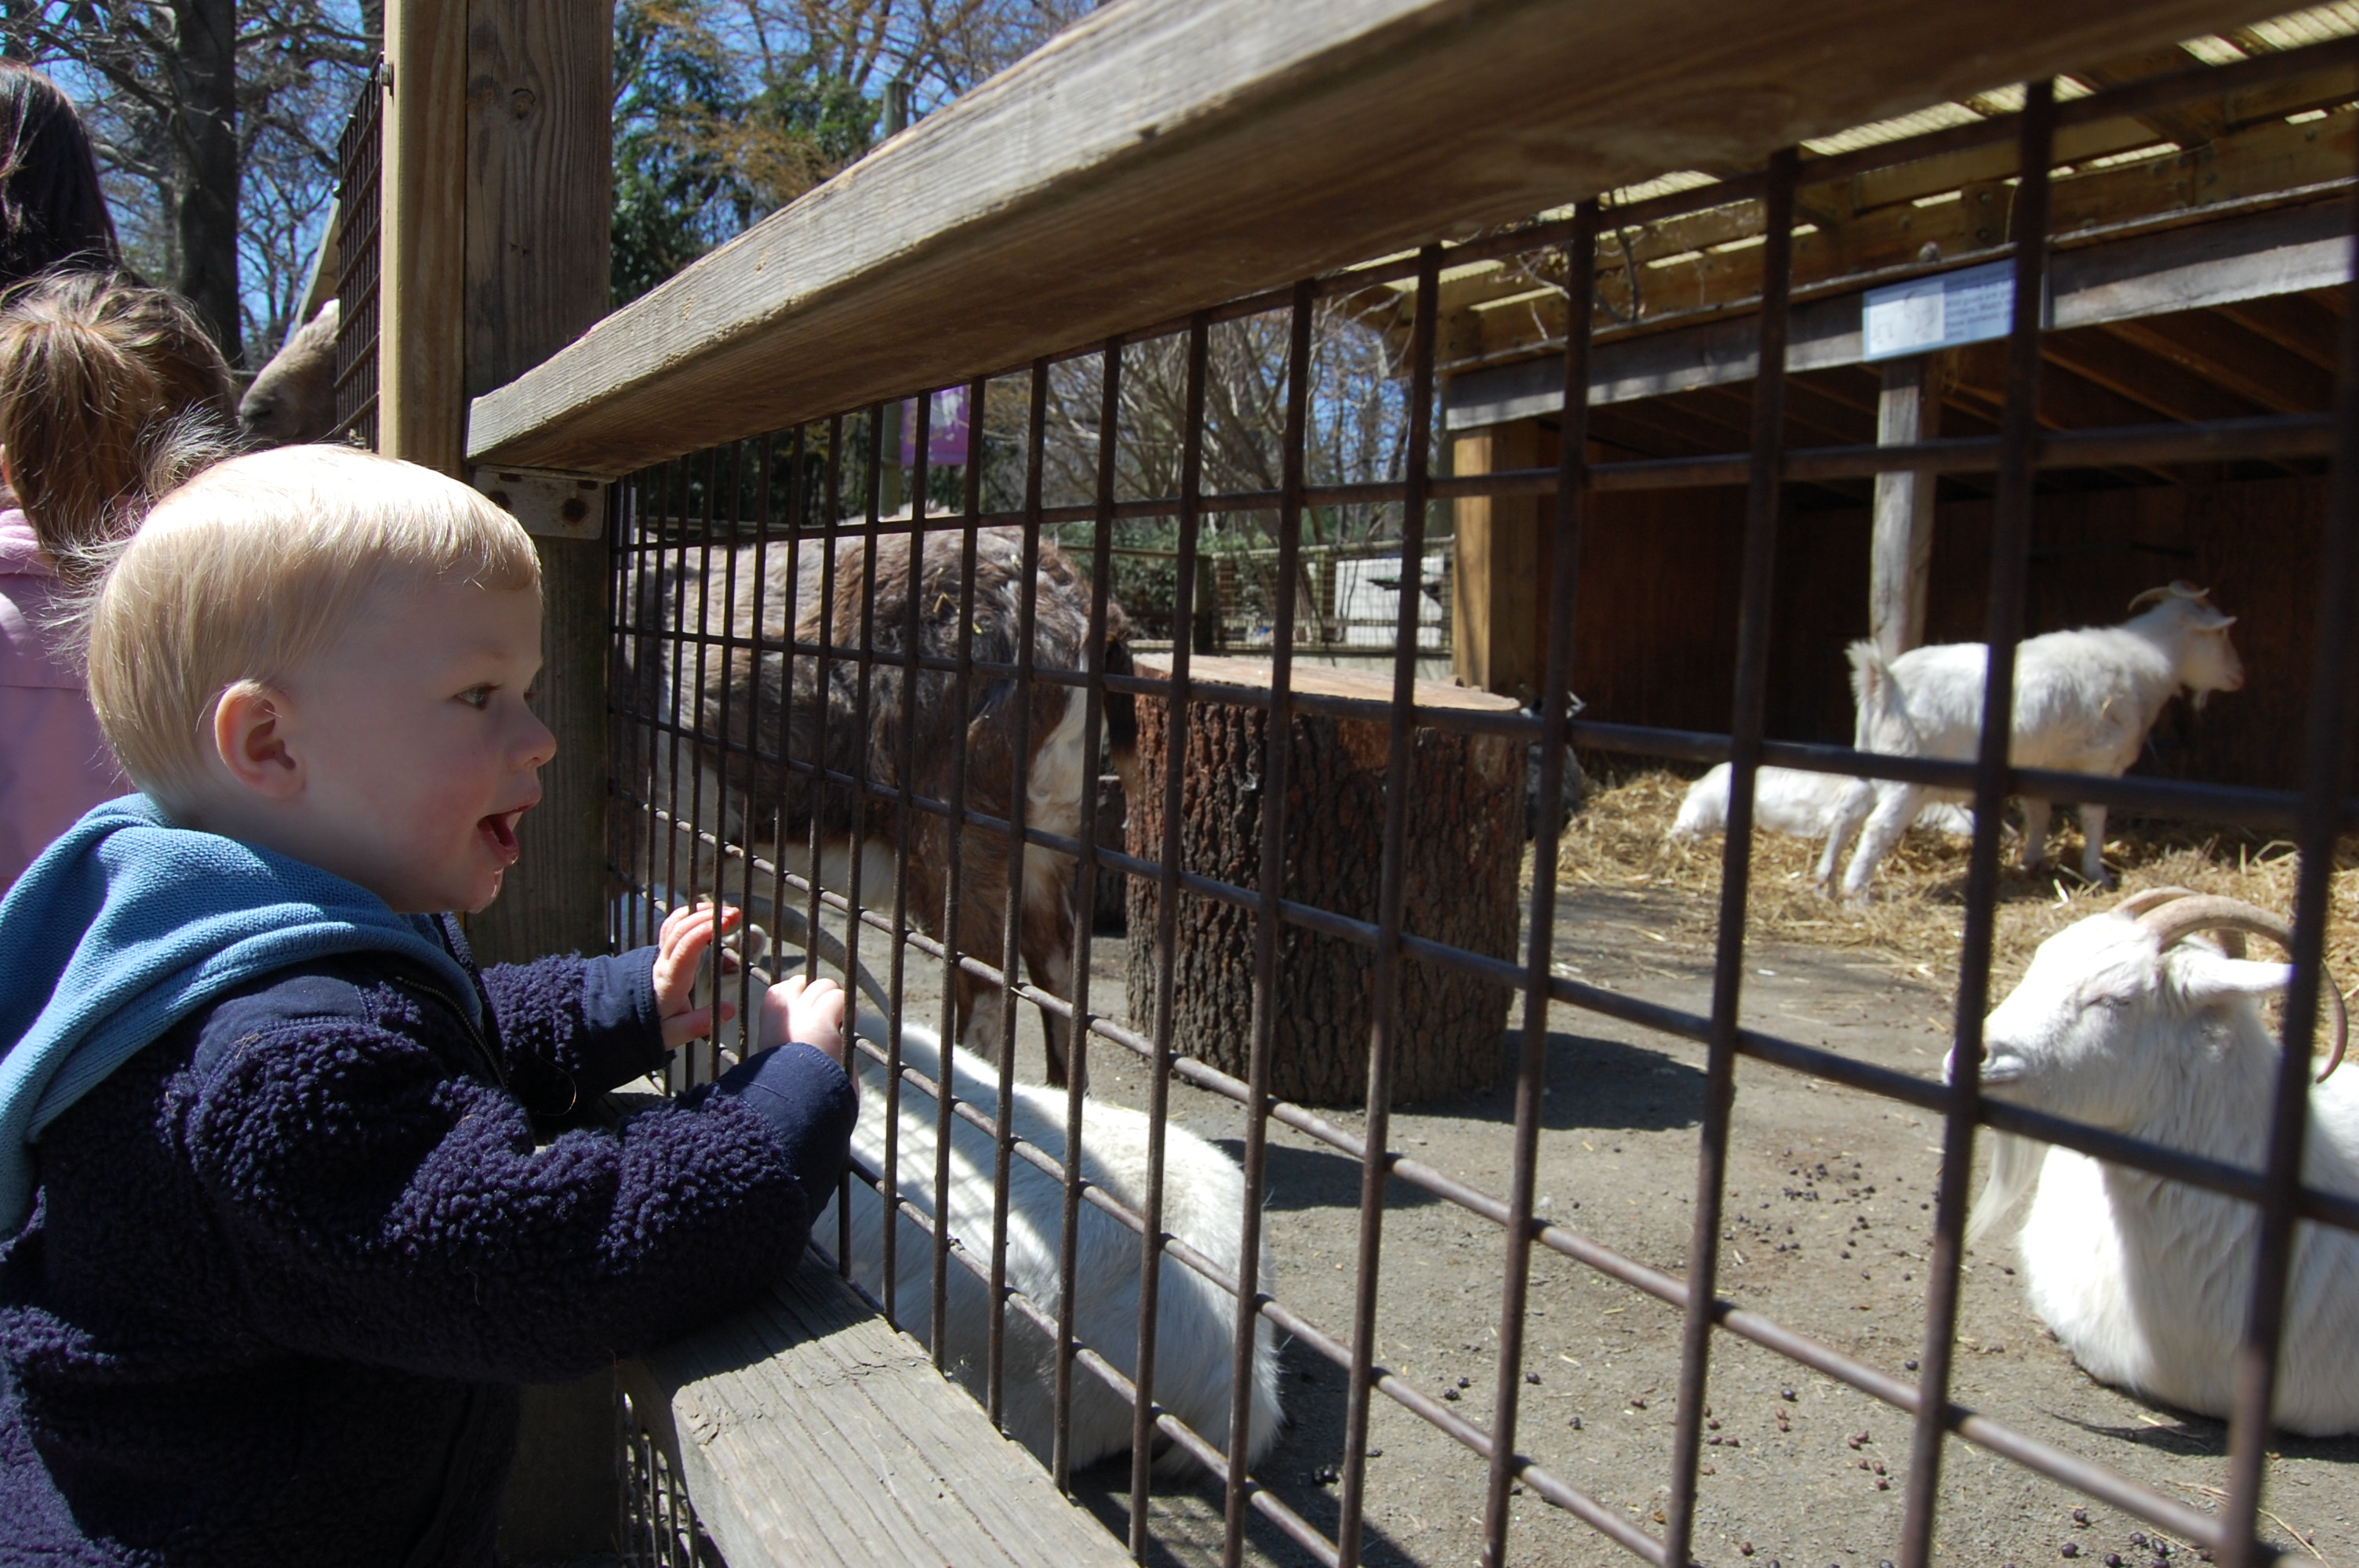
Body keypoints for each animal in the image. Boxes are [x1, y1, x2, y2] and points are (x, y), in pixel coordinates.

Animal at [1814, 583, 2243, 903]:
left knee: (1847, 814)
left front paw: (2032, 862)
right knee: (1876, 827)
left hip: (1870, 757)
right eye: (2222, 633)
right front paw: (2097, 874)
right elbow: (2093, 816)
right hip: (1909, 774)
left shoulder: (2040, 764)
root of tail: (1883, 680)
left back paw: (1825, 884)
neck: (2147, 660)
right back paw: (1856, 895)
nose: (2240, 675)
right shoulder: (2102, 763)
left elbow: (2039, 811)